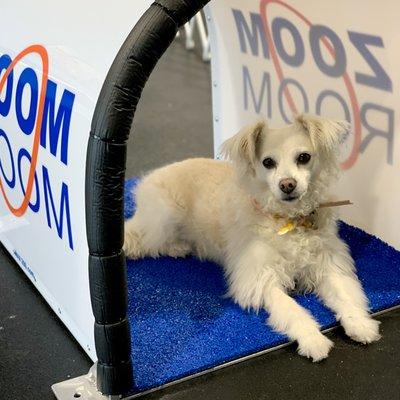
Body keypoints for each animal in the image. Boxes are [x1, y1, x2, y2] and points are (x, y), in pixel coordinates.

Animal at [125, 114, 382, 360]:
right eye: (267, 162)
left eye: (304, 157)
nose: (287, 184)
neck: (288, 219)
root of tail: (149, 177)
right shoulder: (259, 279)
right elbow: (291, 309)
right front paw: (313, 339)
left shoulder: (330, 266)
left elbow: (345, 295)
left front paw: (360, 324)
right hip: (165, 217)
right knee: (143, 240)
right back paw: (176, 247)